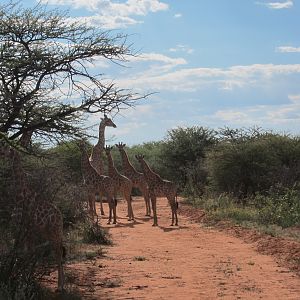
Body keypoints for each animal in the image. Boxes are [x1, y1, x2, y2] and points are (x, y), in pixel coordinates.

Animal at [0, 135, 65, 292]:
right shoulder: (21, 229)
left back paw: (60, 287)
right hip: (47, 232)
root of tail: (60, 215)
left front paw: (23, 282)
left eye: (4, 146)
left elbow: (26, 253)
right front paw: (22, 280)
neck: (20, 196)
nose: (1, 153)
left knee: (58, 253)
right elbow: (21, 252)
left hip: (54, 231)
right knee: (57, 252)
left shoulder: (27, 228)